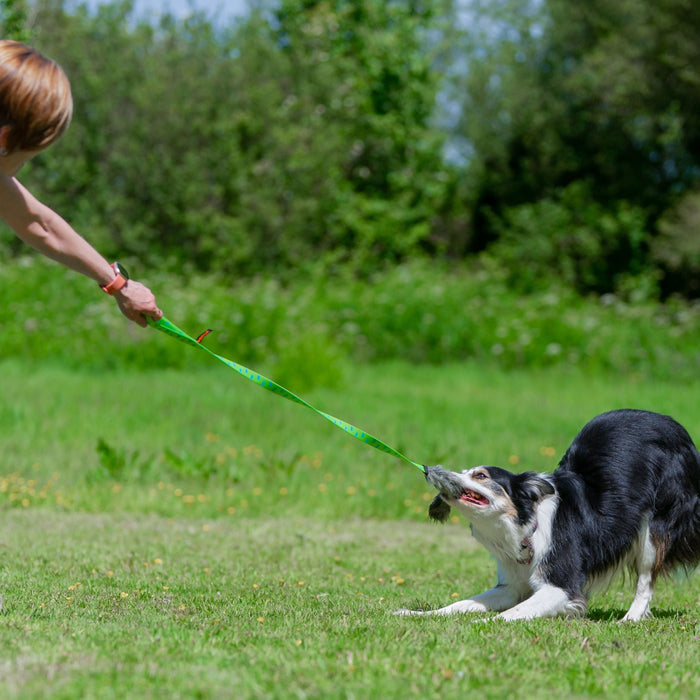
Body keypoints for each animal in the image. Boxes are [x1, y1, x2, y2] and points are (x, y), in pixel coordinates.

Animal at [400, 408, 700, 620]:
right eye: (463, 472)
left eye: (480, 475)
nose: (429, 471)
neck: (525, 525)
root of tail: (679, 430)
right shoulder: (510, 586)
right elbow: (460, 603)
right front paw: (418, 613)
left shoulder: (560, 586)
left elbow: (510, 614)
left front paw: (482, 624)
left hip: (655, 526)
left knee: (646, 579)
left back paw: (631, 618)